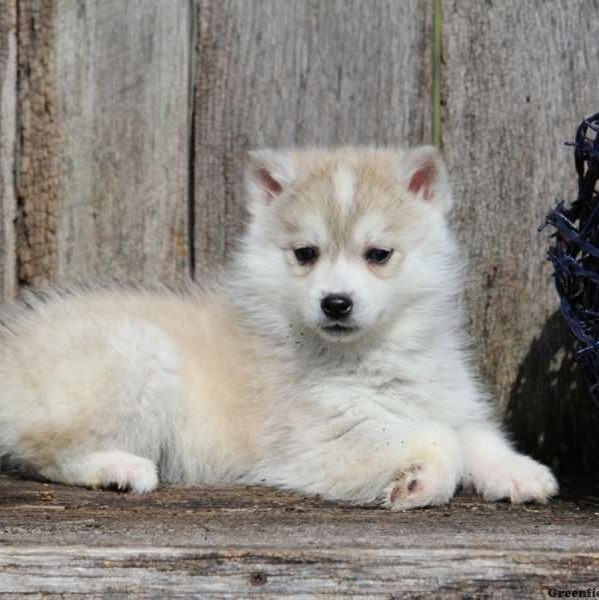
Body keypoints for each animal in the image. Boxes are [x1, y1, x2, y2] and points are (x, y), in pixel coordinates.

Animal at [0, 148, 556, 508]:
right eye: (305, 254)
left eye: (378, 254)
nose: (336, 303)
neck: (375, 351)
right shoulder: (322, 439)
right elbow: (442, 440)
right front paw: (419, 484)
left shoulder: (447, 397)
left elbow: (472, 433)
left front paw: (520, 473)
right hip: (140, 352)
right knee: (43, 451)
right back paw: (120, 469)